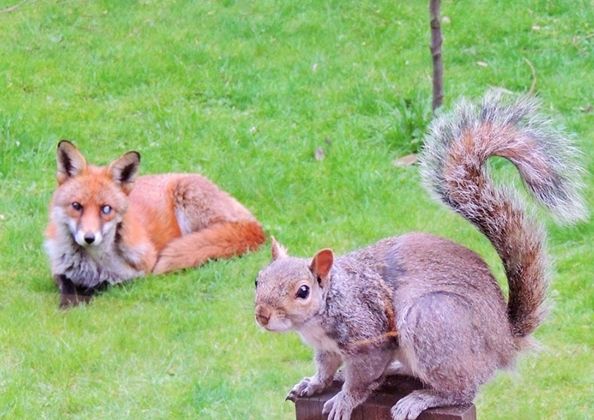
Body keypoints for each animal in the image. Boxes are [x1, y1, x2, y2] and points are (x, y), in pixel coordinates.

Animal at [46, 141, 266, 308]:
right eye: (77, 206)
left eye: (106, 209)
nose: (89, 238)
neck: (92, 263)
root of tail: (256, 227)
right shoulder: (59, 270)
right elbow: (67, 285)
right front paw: (68, 304)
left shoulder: (140, 271)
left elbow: (104, 283)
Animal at [250, 92, 584, 420]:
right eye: (257, 280)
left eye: (303, 291)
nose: (262, 315)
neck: (326, 307)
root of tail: (504, 342)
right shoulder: (327, 348)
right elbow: (325, 368)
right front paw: (312, 384)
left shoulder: (369, 336)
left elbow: (362, 377)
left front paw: (343, 401)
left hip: (431, 321)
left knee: (460, 391)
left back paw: (420, 398)